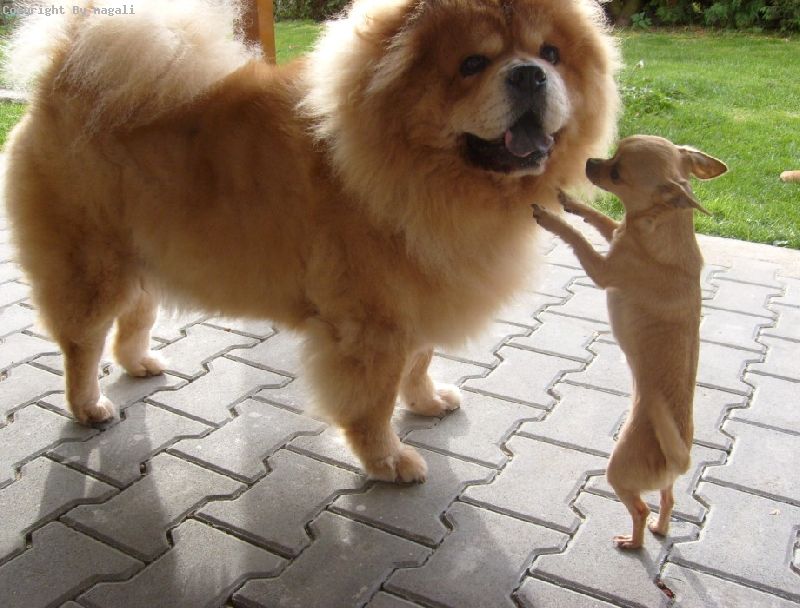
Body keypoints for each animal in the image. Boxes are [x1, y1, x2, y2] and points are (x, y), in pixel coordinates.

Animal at [4, 0, 618, 482]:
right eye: (472, 65)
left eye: (551, 54)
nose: (529, 75)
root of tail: (64, 70)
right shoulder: (372, 322)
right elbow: (374, 401)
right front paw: (389, 461)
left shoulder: (422, 291)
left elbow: (419, 361)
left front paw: (427, 401)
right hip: (91, 265)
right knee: (81, 344)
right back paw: (89, 406)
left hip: (146, 255)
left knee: (134, 318)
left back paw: (140, 364)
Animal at [532, 135, 727, 548]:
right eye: (612, 155)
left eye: (618, 173)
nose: (590, 162)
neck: (659, 227)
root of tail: (677, 459)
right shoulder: (615, 236)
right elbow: (600, 219)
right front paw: (569, 200)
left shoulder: (602, 270)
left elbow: (578, 238)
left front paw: (554, 218)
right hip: (664, 485)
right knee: (667, 500)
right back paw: (660, 529)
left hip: (618, 472)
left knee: (640, 508)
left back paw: (633, 542)